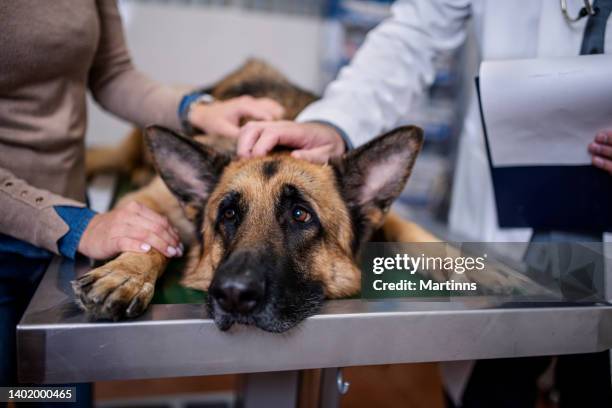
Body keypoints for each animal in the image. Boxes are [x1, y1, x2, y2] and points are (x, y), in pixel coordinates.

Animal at [73, 62, 440, 334]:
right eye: (228, 214)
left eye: (300, 214)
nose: (233, 295)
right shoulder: (148, 201)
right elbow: (147, 234)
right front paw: (125, 274)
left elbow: (403, 225)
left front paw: (446, 260)